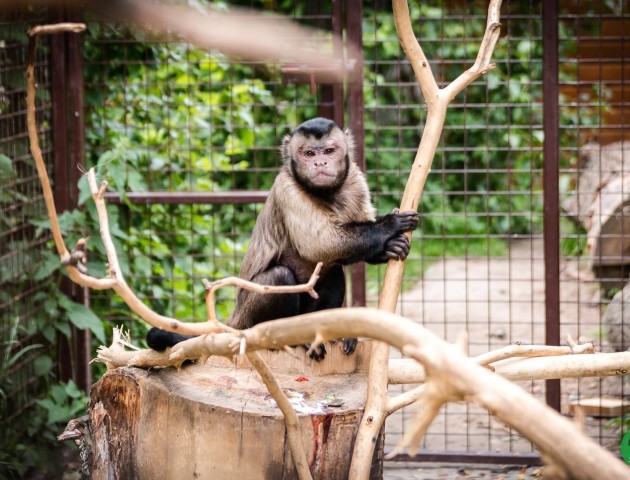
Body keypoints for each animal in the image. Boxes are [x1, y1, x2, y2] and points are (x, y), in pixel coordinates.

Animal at [149, 118, 420, 360]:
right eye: (309, 153)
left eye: (329, 151)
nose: (320, 162)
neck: (325, 193)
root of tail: (234, 323)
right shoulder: (287, 188)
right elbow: (320, 245)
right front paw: (388, 226)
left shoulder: (355, 180)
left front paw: (388, 248)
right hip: (248, 319)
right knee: (280, 277)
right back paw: (285, 340)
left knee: (333, 272)